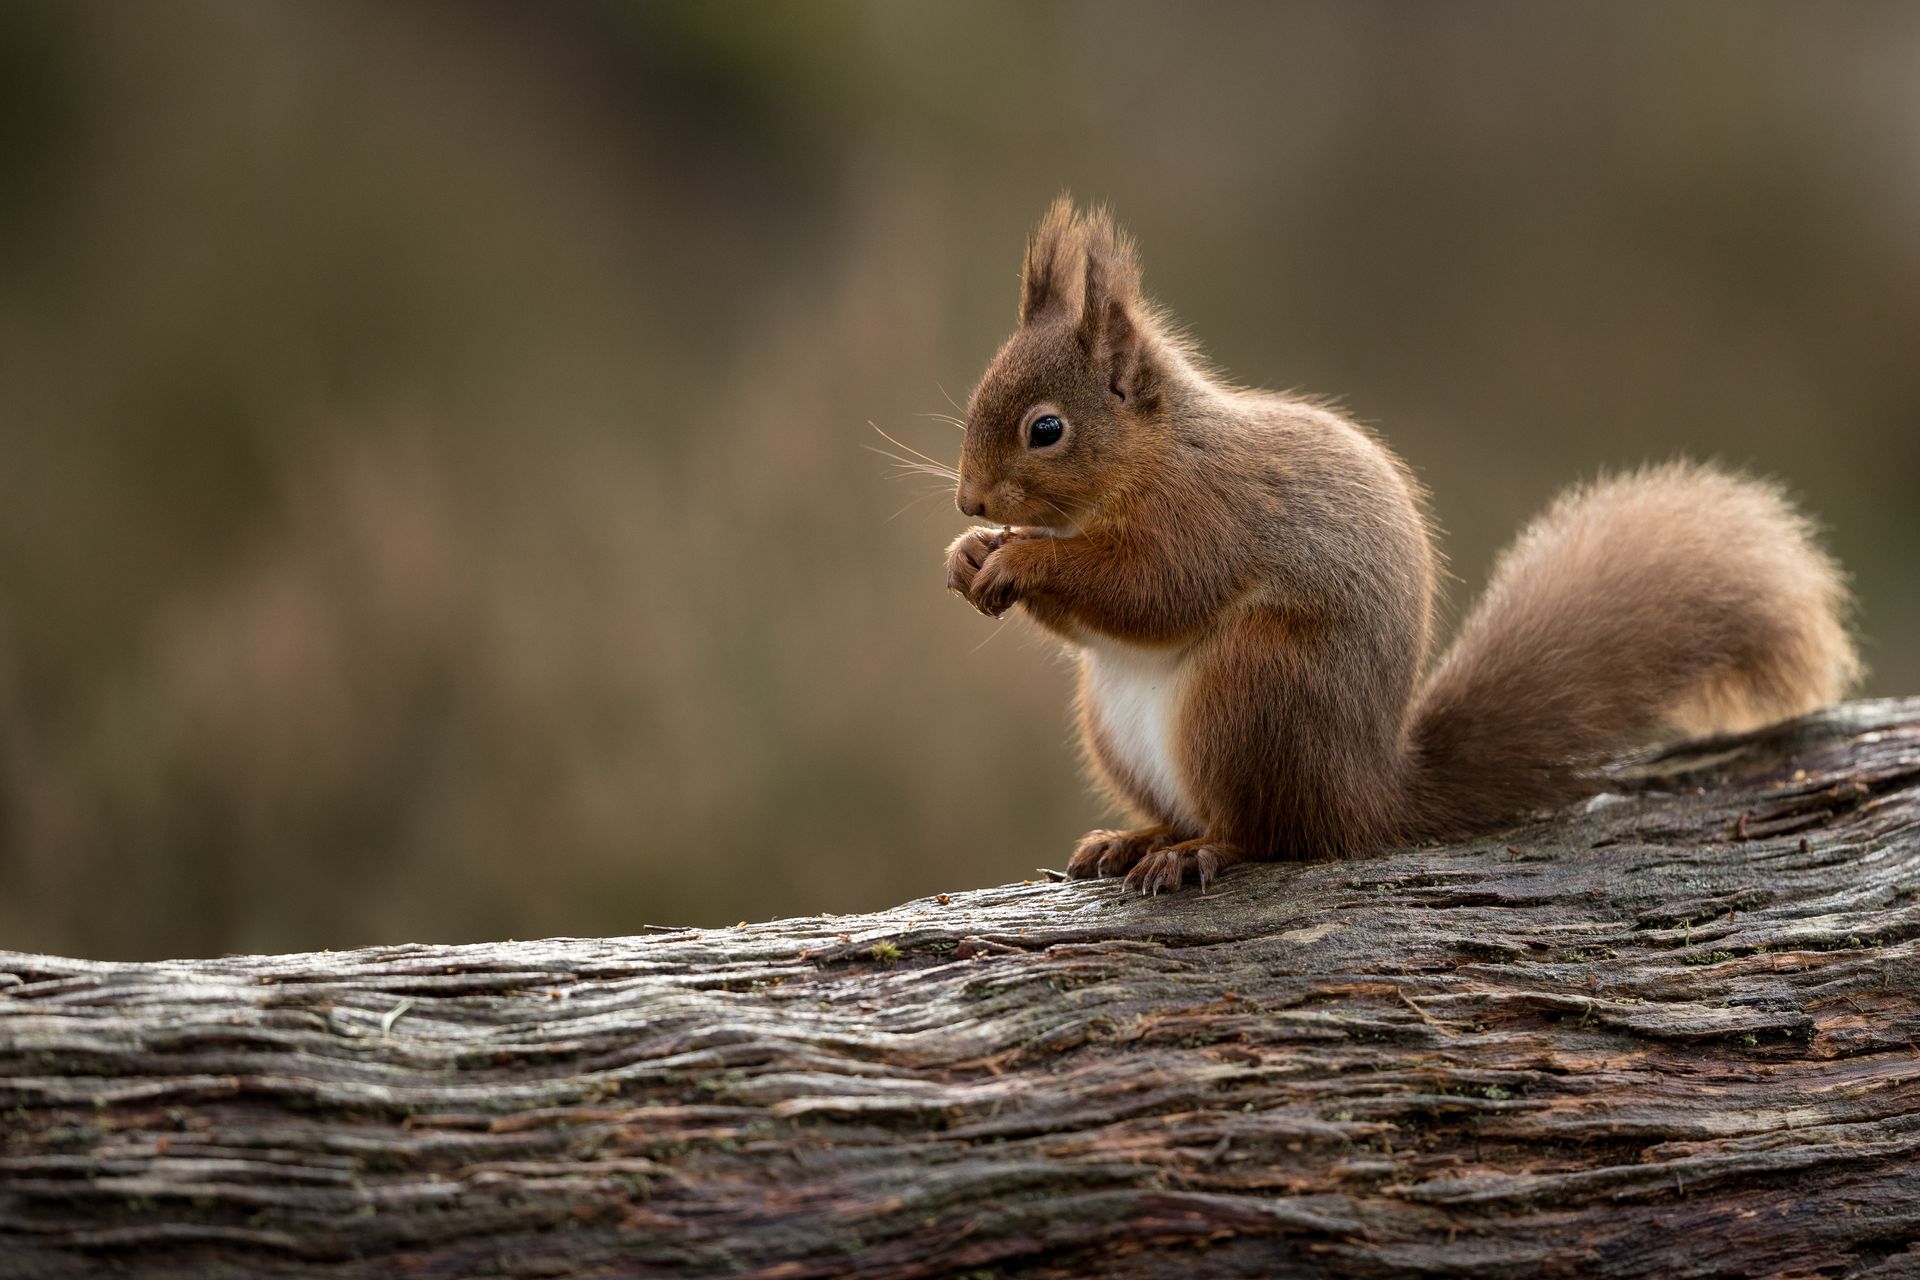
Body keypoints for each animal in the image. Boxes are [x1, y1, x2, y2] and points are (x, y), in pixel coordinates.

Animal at [944, 198, 1861, 894]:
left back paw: (1197, 852)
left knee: (1267, 832)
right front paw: (968, 553)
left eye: (1046, 429)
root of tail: (1366, 794)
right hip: (1120, 723)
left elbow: (1150, 591)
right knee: (1193, 812)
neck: (1158, 457)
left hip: (1251, 691)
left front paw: (1020, 559)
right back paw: (1134, 839)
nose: (969, 498)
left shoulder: (1208, 519)